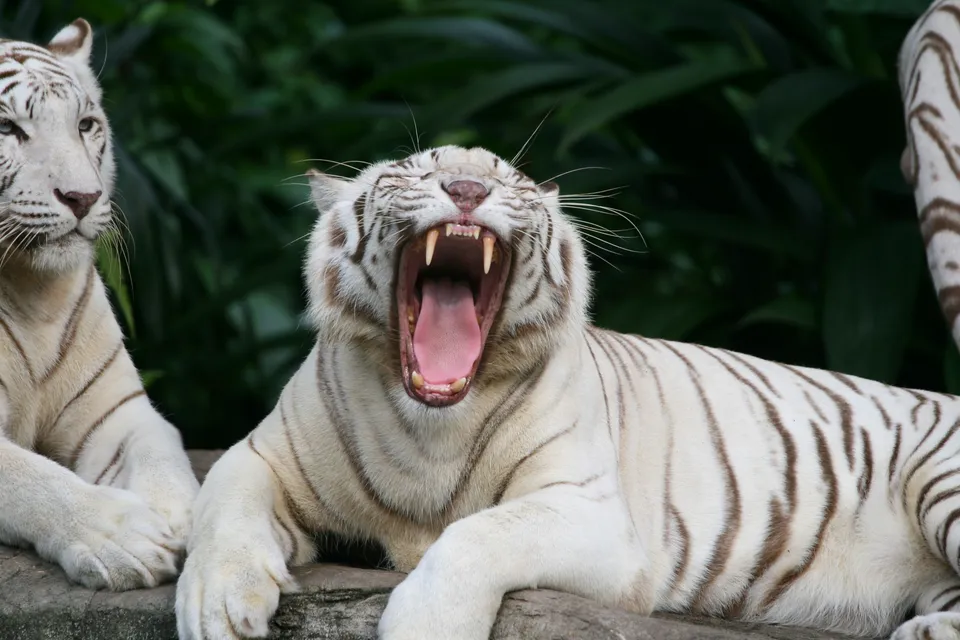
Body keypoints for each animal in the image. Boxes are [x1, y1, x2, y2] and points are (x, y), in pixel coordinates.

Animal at [0, 19, 198, 591]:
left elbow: (160, 452)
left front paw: (184, 520)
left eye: (85, 124)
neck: (31, 294)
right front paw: (123, 538)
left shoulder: (118, 410)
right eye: (7, 128)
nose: (83, 197)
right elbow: (35, 478)